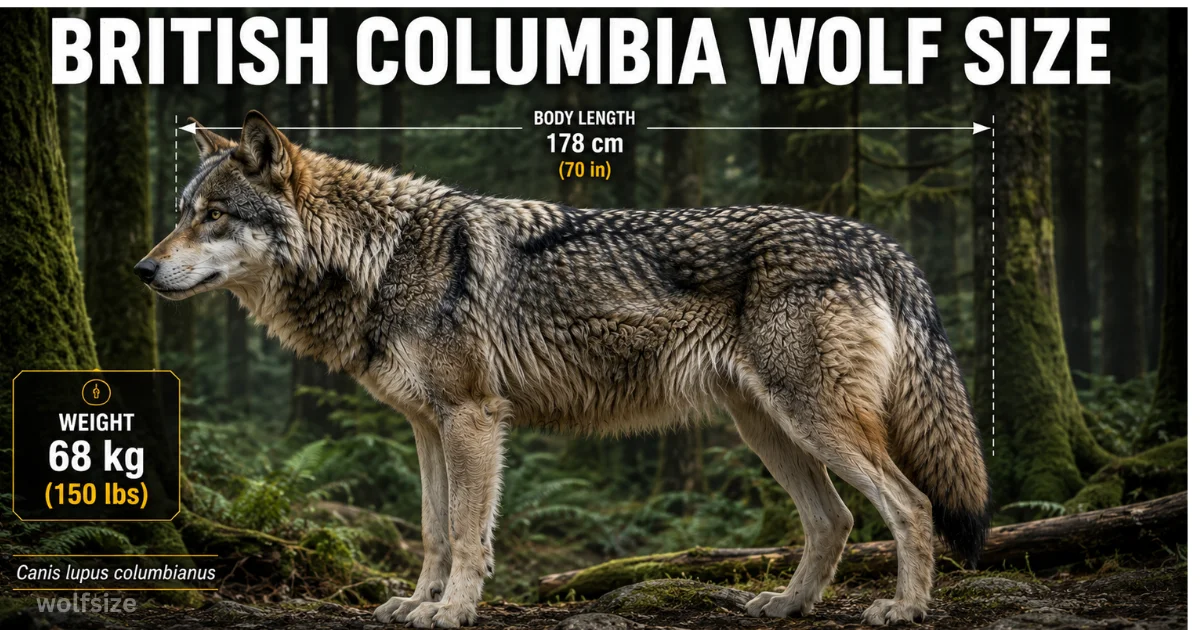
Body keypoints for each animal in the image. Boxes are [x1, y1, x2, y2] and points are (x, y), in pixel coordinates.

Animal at [137, 111, 990, 627]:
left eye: (213, 216)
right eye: (182, 212)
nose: (142, 269)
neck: (379, 258)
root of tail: (878, 242)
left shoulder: (474, 417)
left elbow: (467, 532)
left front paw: (452, 612)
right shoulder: (426, 427)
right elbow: (432, 530)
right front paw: (415, 606)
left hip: (813, 421)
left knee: (911, 505)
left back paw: (905, 608)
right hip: (770, 429)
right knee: (834, 519)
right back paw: (784, 605)